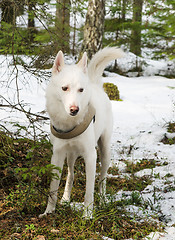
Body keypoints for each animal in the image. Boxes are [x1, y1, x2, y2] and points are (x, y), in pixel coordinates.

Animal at [40, 47, 123, 218]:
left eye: (81, 90)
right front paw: (49, 211)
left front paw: (87, 215)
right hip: (70, 155)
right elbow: (53, 187)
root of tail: (95, 84)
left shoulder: (91, 156)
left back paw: (102, 200)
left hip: (105, 151)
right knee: (70, 174)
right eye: (64, 88)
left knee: (102, 178)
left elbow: (89, 190)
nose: (74, 110)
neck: (69, 123)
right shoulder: (57, 155)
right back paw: (66, 199)